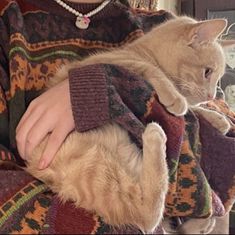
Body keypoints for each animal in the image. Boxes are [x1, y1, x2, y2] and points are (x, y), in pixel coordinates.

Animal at [25, 17, 229, 233]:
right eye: (207, 72)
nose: (212, 96)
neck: (141, 51)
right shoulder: (113, 62)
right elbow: (152, 71)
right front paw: (176, 98)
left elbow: (194, 109)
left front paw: (217, 118)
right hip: (94, 167)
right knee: (145, 215)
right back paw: (155, 135)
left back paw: (202, 223)